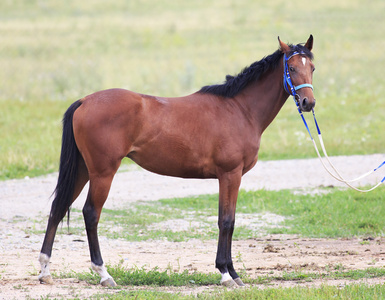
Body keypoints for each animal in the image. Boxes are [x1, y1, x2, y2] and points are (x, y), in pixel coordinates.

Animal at [38, 35, 316, 288]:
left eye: (312, 67)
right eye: (291, 68)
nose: (308, 102)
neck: (239, 109)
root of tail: (85, 100)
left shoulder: (228, 177)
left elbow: (228, 220)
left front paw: (233, 273)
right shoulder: (230, 174)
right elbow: (226, 222)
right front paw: (226, 274)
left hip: (83, 170)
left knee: (57, 208)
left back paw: (45, 270)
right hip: (102, 173)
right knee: (90, 213)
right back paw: (104, 274)